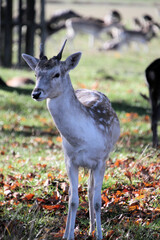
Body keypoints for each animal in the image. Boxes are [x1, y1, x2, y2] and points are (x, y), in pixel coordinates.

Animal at [21, 40, 120, 239]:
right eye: (35, 73)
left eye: (56, 74)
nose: (36, 93)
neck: (83, 140)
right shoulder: (70, 160)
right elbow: (73, 200)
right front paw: (68, 235)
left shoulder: (100, 161)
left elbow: (97, 201)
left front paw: (100, 235)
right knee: (86, 192)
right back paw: (88, 229)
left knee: (90, 191)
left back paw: (92, 229)